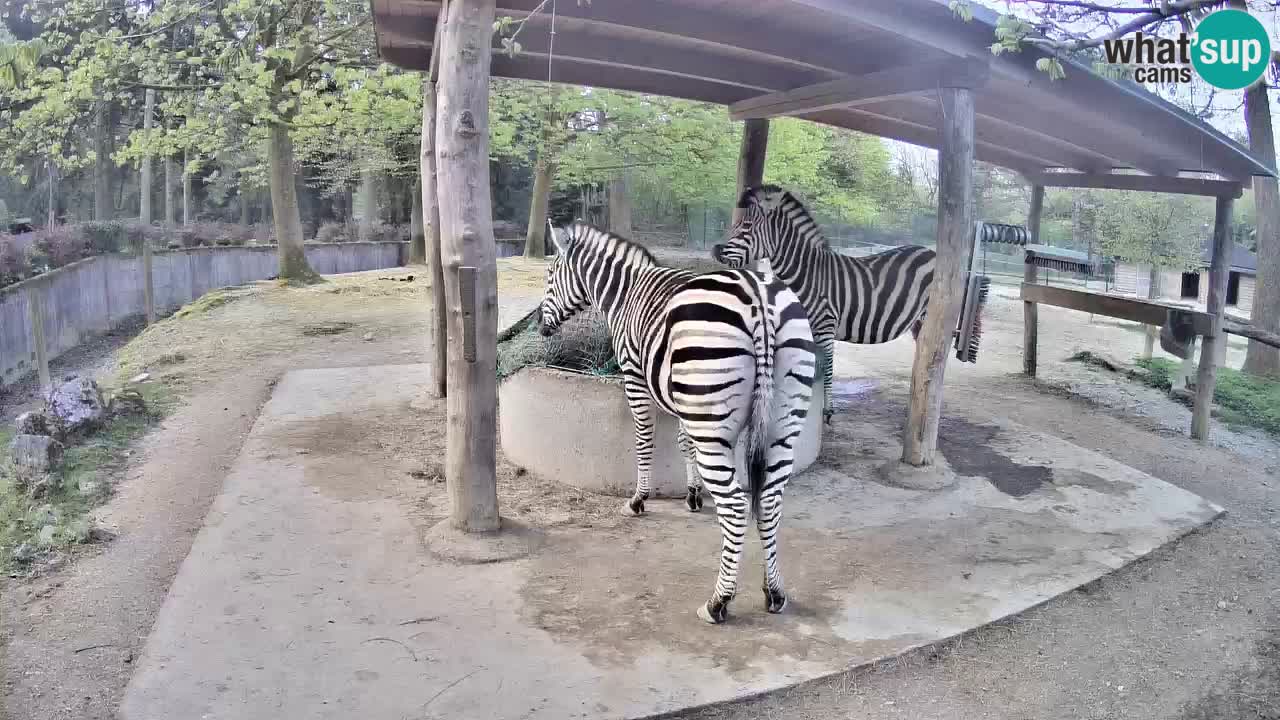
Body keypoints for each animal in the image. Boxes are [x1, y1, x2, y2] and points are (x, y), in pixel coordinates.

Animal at [540, 221, 816, 624]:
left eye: (549, 276)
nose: (539, 327)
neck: (626, 293)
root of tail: (759, 298)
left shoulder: (635, 377)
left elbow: (644, 440)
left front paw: (639, 500)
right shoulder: (682, 398)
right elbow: (685, 443)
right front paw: (692, 495)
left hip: (714, 419)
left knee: (736, 506)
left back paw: (718, 602)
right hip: (780, 424)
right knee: (768, 500)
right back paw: (775, 592)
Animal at [712, 184, 935, 424]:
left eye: (747, 226)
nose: (715, 250)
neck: (807, 274)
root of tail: (931, 252)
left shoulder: (826, 325)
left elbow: (827, 367)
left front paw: (827, 411)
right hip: (919, 324)